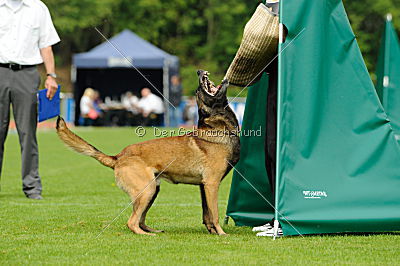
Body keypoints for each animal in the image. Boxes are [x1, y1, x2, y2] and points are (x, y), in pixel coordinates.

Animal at [56, 70, 241, 235]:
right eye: (198, 91)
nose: (199, 71)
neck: (218, 126)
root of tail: (118, 157)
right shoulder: (211, 184)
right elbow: (214, 214)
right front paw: (222, 233)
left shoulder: (203, 186)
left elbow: (207, 215)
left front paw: (212, 232)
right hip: (147, 190)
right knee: (132, 222)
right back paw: (146, 235)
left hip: (152, 191)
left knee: (140, 219)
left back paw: (152, 230)